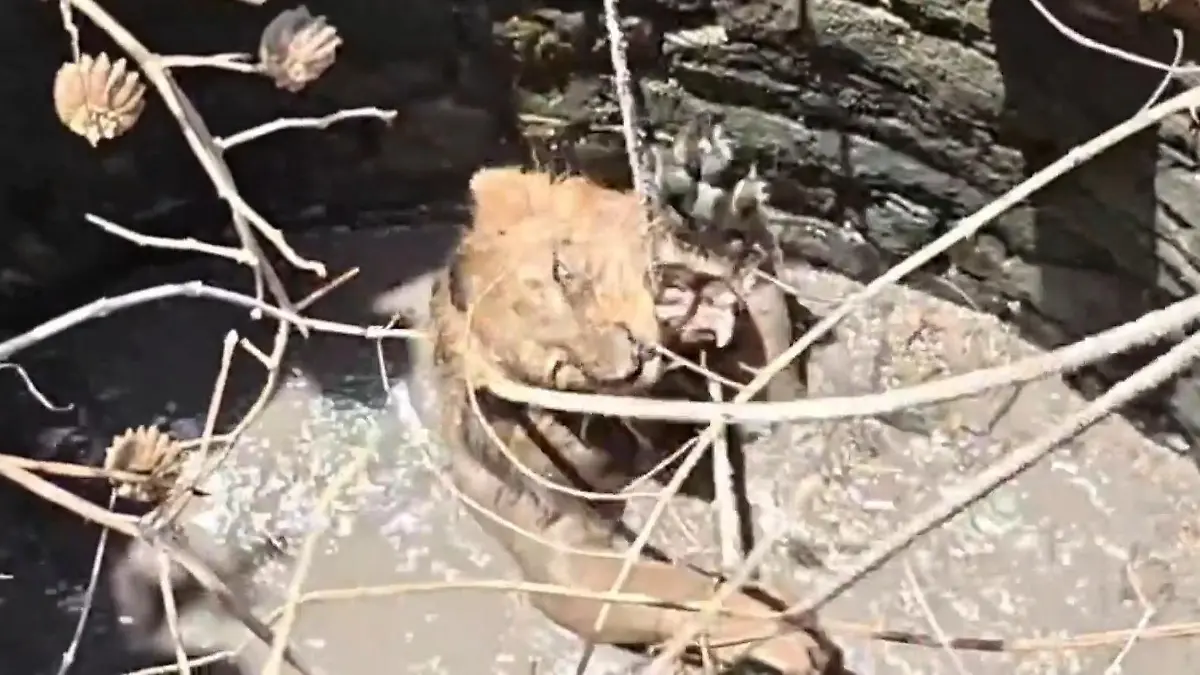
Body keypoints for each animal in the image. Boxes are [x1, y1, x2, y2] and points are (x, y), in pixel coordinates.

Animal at [407, 165, 842, 673]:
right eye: (559, 367)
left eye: (563, 272)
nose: (633, 361)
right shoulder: (554, 540)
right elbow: (667, 588)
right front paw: (778, 632)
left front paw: (727, 226)